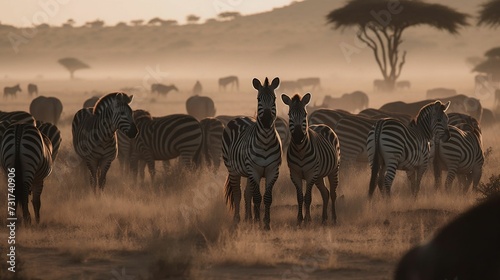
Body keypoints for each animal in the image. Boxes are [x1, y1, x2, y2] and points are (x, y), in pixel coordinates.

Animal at [222, 76, 282, 230]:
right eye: (258, 99)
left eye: (274, 98)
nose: (266, 121)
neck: (265, 141)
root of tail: (240, 117)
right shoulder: (254, 170)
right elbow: (257, 197)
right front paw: (258, 222)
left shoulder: (273, 170)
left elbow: (266, 197)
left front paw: (266, 223)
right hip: (233, 170)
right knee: (237, 193)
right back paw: (237, 219)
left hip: (248, 172)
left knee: (246, 193)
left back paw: (248, 218)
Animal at [282, 93, 340, 225]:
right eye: (289, 114)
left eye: (305, 114)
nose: (298, 137)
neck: (300, 151)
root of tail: (322, 125)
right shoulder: (295, 174)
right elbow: (299, 197)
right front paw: (299, 219)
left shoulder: (310, 174)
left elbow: (308, 198)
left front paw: (308, 220)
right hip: (319, 175)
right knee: (325, 193)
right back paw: (324, 219)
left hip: (333, 170)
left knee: (333, 193)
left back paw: (334, 218)